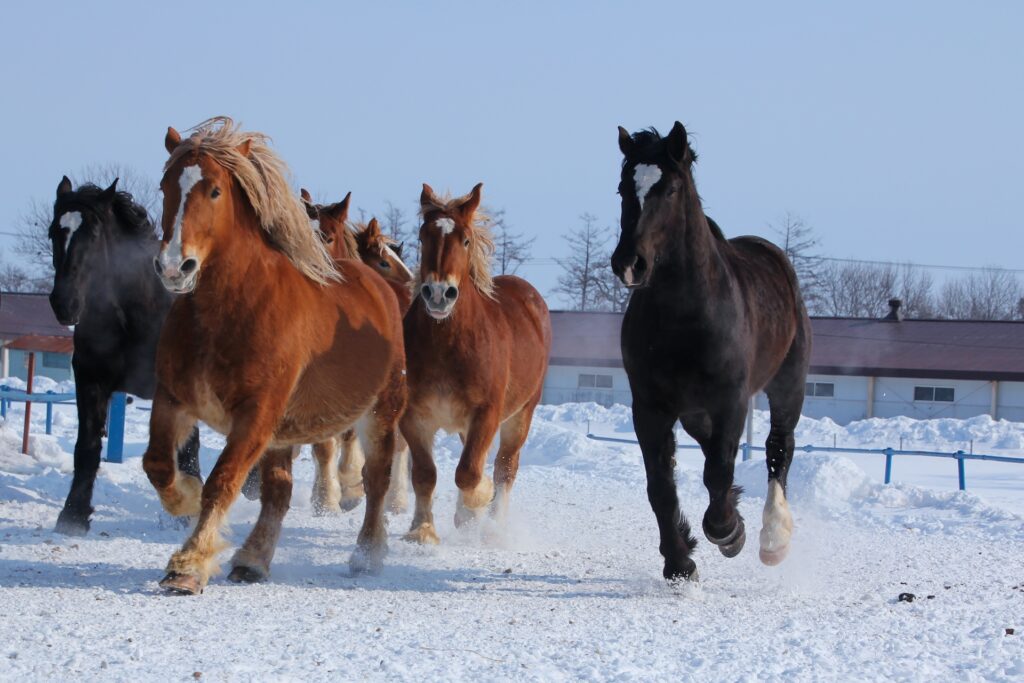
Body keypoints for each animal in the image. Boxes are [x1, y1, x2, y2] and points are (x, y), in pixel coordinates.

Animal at [46, 177, 201, 536]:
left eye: (93, 235)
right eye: (53, 232)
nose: (64, 303)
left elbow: (181, 450)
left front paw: (185, 512)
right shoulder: (90, 380)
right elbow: (87, 447)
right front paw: (73, 515)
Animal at [298, 190, 414, 515]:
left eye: (327, 237)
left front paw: (348, 486)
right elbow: (323, 445)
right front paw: (325, 498)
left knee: (399, 442)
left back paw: (395, 499)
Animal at [401, 183, 551, 544]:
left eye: (465, 240)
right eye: (423, 236)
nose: (438, 294)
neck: (447, 344)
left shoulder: (486, 414)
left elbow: (470, 473)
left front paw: (477, 501)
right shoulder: (414, 416)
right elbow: (425, 475)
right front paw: (422, 530)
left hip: (521, 415)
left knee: (505, 467)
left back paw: (494, 526)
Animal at [610, 122, 811, 581]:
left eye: (670, 189)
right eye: (623, 188)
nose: (629, 263)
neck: (685, 317)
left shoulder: (730, 401)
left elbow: (718, 472)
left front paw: (728, 532)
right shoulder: (650, 407)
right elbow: (661, 486)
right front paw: (680, 560)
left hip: (787, 385)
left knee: (779, 448)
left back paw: (773, 538)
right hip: (694, 413)